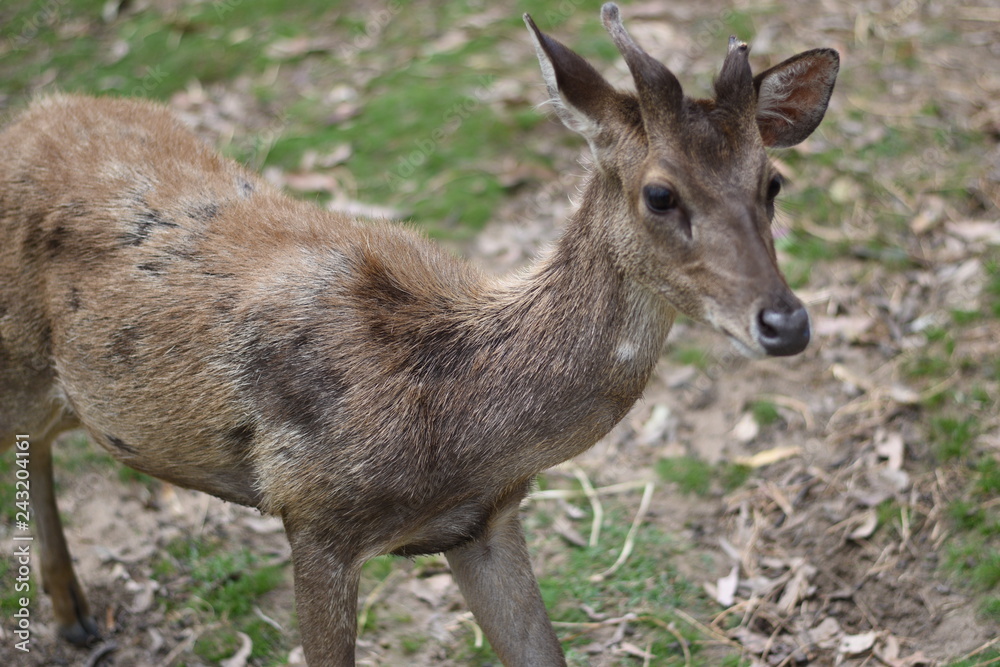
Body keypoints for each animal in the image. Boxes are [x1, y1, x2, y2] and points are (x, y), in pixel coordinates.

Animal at [0, 6, 840, 667]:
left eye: (772, 183)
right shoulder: (314, 517)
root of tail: (27, 117)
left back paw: (75, 615)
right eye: (660, 194)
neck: (448, 415)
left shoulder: (484, 523)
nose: (786, 320)